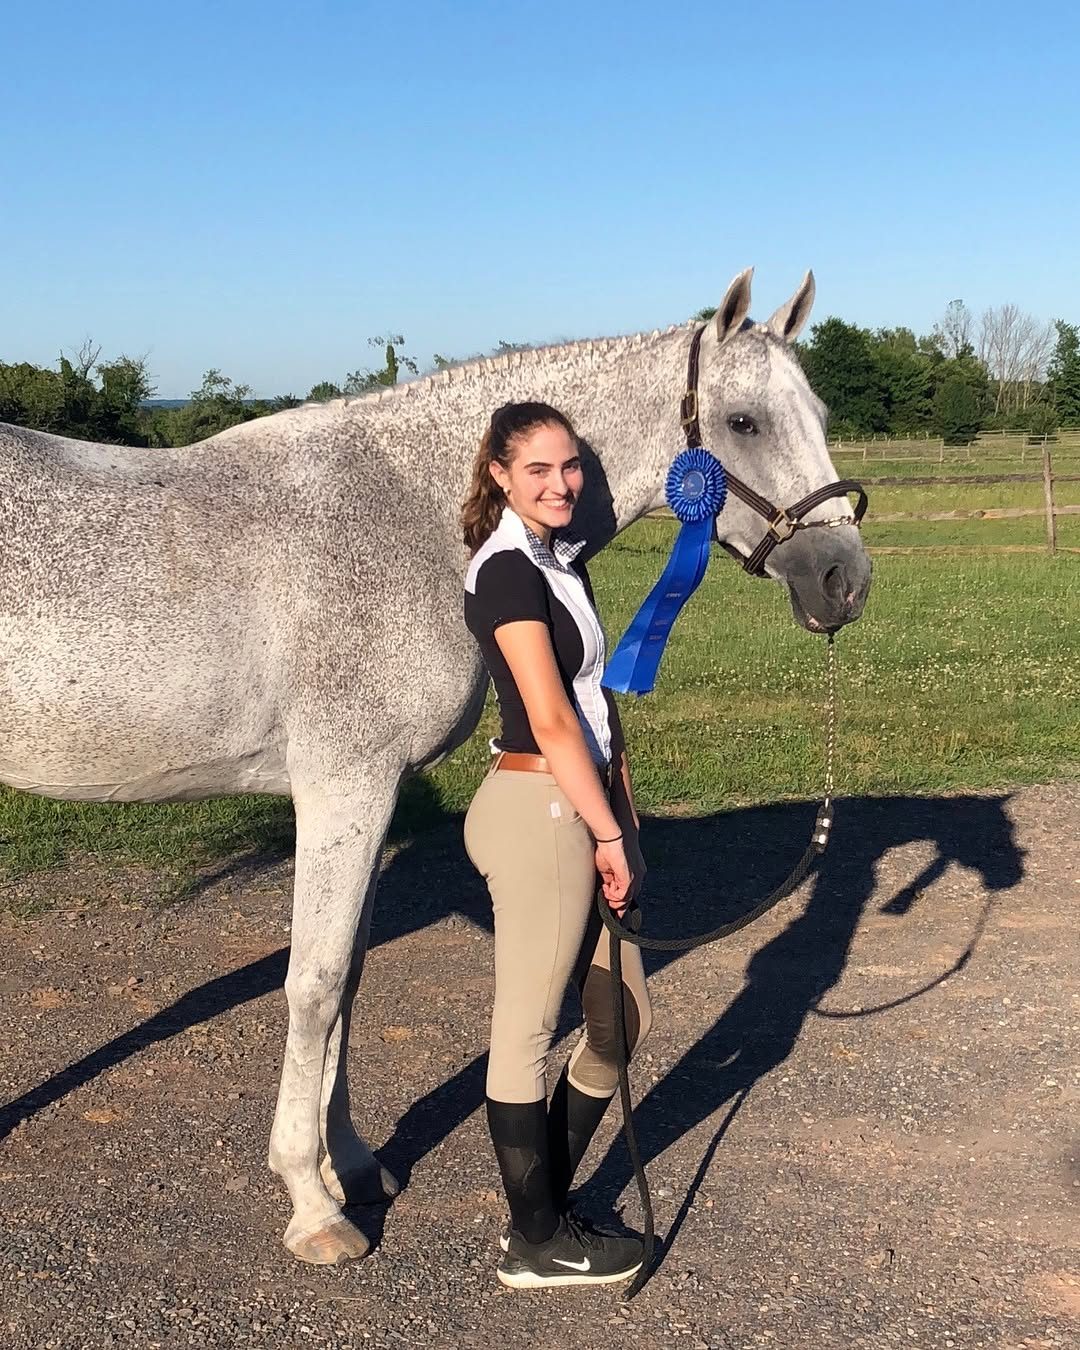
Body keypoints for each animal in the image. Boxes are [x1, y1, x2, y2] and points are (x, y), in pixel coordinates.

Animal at [0, 268, 871, 1264]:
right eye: (743, 422)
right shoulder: (344, 787)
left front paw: (351, 1163)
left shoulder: (374, 798)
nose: (845, 578)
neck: (408, 514)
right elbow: (317, 983)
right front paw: (313, 1204)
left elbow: (350, 979)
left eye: (818, 411)